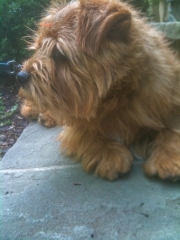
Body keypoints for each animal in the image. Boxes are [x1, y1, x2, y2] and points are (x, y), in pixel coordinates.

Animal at [17, 0, 180, 180]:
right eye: (39, 47)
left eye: (59, 53)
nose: (20, 76)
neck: (118, 98)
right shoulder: (76, 124)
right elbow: (86, 133)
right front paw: (110, 155)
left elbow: (171, 130)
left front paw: (168, 158)